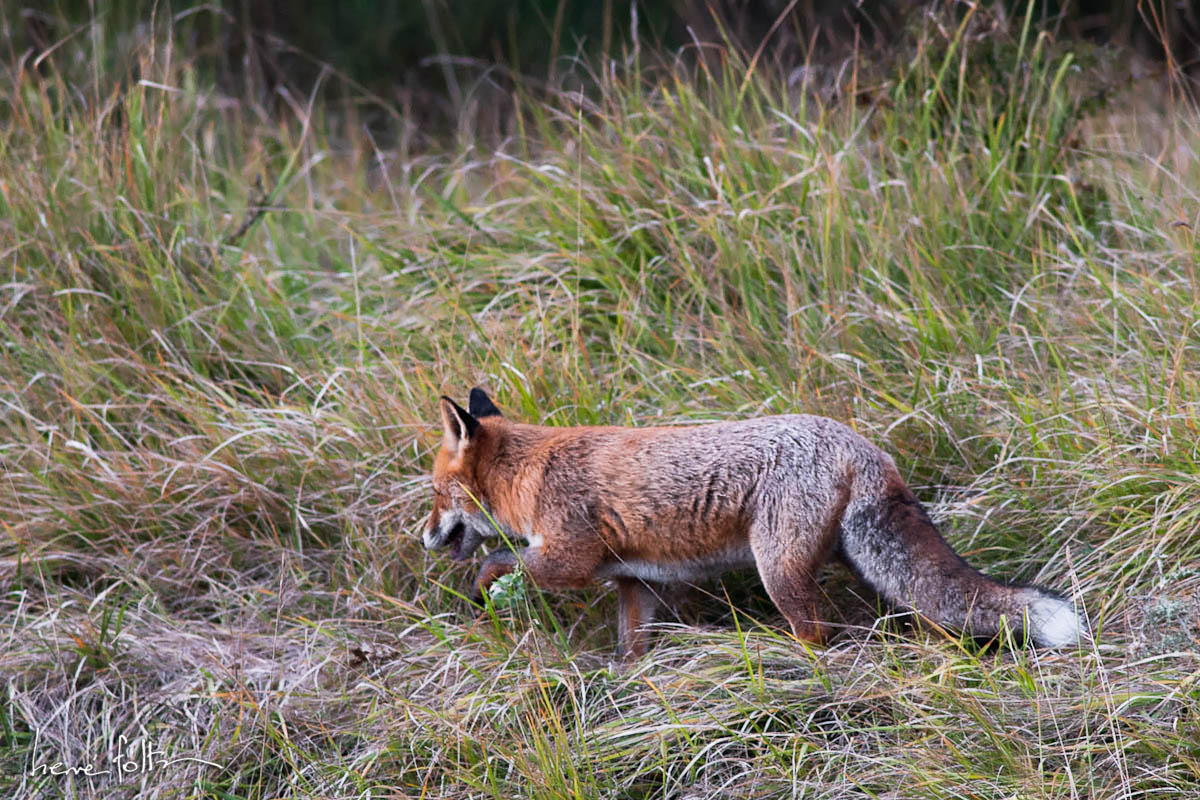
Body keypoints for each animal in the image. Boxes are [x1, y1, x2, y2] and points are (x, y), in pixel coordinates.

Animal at [427, 388, 1084, 657]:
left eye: (435, 495)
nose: (426, 537)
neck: (533, 474)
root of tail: (861, 446)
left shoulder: (568, 559)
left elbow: (498, 559)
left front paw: (481, 592)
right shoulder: (633, 582)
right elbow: (629, 648)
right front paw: (626, 685)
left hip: (778, 571)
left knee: (818, 635)